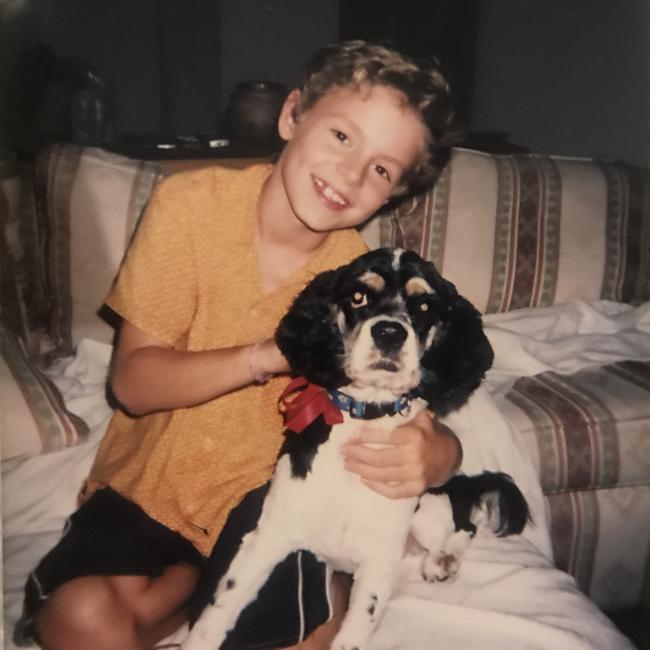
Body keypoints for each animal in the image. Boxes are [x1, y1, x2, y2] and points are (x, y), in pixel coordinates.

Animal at [182, 247, 528, 648]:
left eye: (425, 306)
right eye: (358, 297)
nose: (389, 332)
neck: (366, 416)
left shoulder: (377, 564)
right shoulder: (268, 535)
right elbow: (219, 609)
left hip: (428, 509)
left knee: (464, 526)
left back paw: (441, 562)